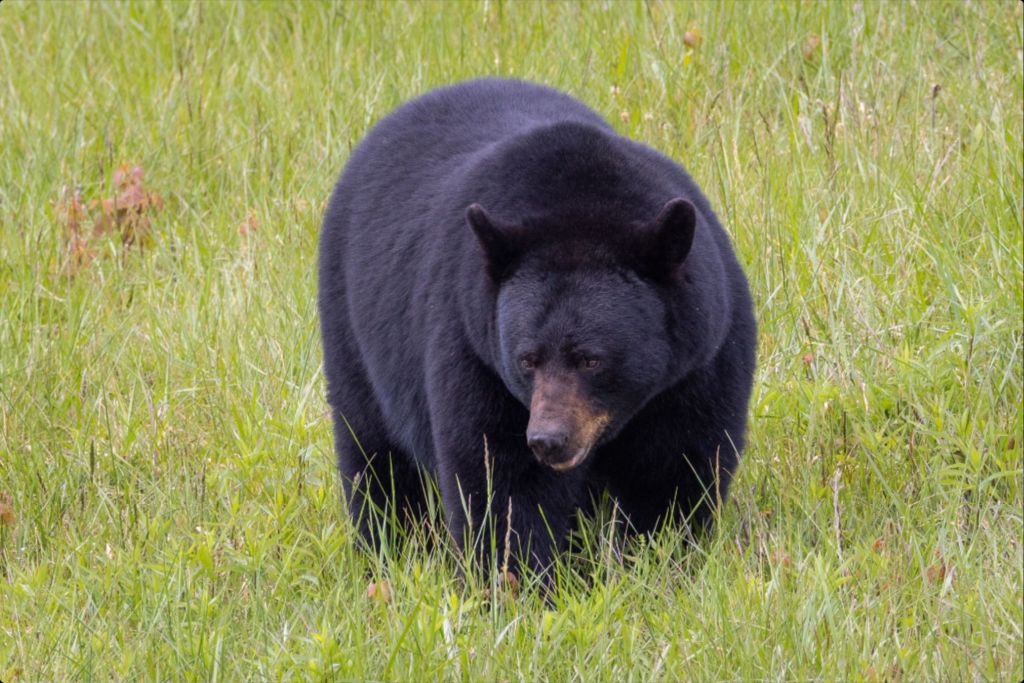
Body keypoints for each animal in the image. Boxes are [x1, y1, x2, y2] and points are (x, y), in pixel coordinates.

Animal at [315, 78, 757, 577]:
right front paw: (515, 578)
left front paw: (659, 563)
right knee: (373, 452)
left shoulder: (698, 364)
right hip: (355, 329)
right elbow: (502, 480)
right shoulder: (473, 345)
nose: (548, 440)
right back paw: (389, 550)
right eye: (527, 359)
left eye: (591, 359)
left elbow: (673, 472)